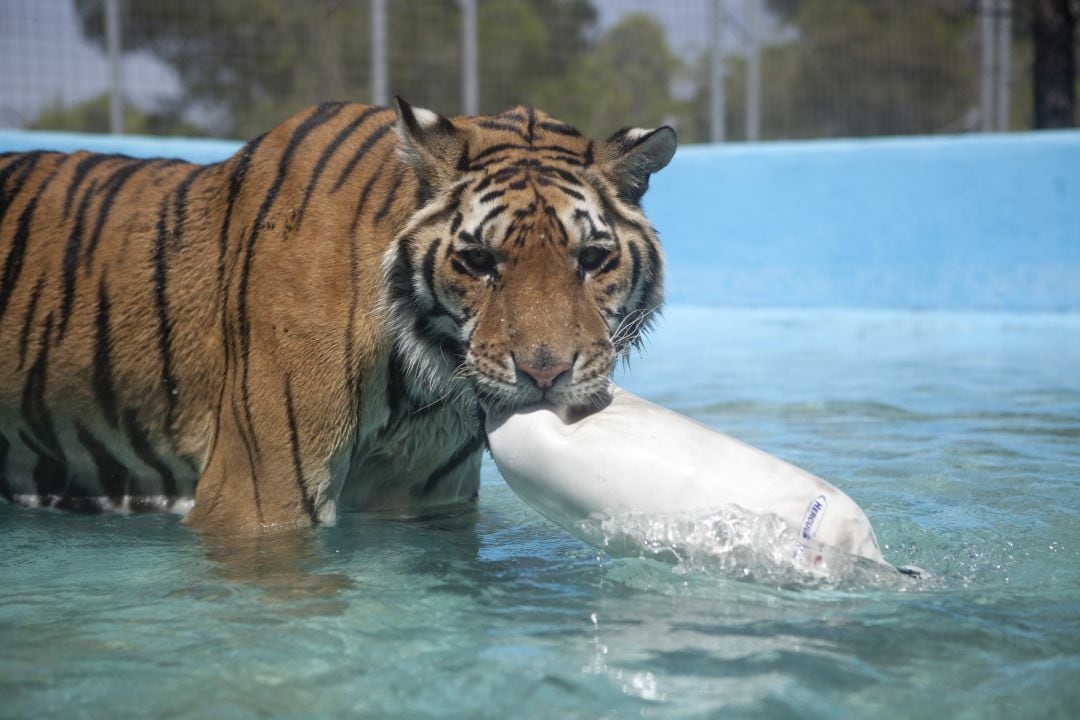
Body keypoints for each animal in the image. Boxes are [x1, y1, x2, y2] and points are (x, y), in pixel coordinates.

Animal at [0, 99, 673, 528]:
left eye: (591, 258)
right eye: (480, 261)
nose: (545, 374)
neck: (423, 385)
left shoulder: (420, 498)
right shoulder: (256, 497)